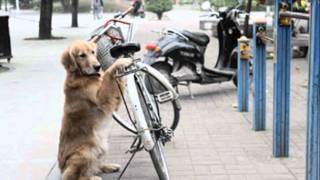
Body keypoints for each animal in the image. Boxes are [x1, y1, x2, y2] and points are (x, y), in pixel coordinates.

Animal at [58, 39, 131, 180]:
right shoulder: (102, 99)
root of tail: (61, 169)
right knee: (75, 176)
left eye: (92, 52)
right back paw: (92, 177)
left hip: (103, 146)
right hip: (85, 152)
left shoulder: (113, 101)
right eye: (82, 55)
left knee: (95, 166)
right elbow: (108, 73)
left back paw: (108, 166)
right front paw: (120, 62)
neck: (82, 75)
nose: (98, 66)